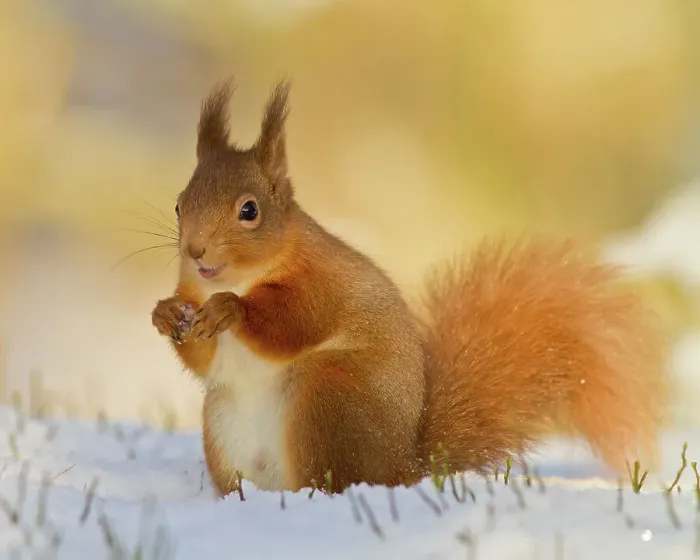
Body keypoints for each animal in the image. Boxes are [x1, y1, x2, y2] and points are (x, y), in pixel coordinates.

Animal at [151, 78, 670, 496]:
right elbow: (203, 358)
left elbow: (290, 323)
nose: (195, 251)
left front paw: (229, 309)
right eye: (179, 205)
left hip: (327, 396)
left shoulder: (321, 283)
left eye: (250, 210)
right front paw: (165, 313)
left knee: (333, 480)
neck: (242, 277)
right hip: (221, 424)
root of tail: (402, 469)